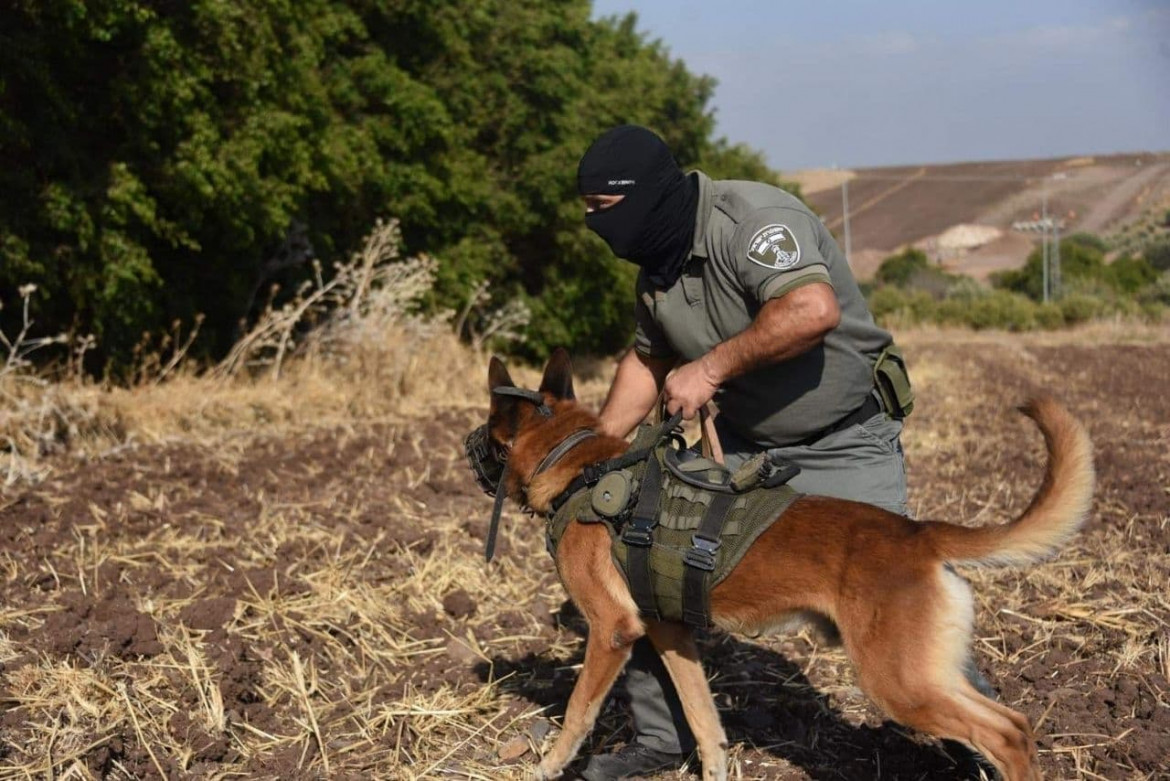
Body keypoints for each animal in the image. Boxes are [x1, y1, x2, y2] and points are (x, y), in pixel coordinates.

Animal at [470, 348, 1090, 781]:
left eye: (489, 428)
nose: (464, 446)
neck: (578, 464)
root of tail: (918, 535)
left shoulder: (612, 631)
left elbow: (577, 714)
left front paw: (546, 766)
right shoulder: (670, 632)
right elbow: (704, 721)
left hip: (899, 683)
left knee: (1006, 734)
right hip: (927, 673)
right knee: (1014, 724)